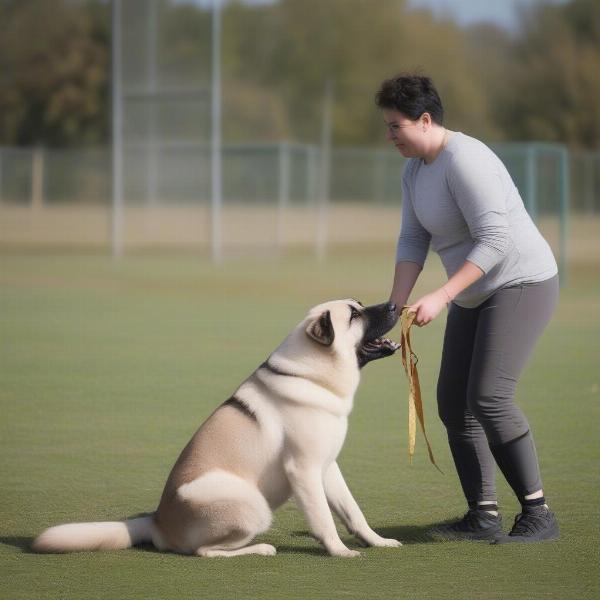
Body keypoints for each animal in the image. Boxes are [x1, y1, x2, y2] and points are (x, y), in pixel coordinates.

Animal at [32, 300, 400, 556]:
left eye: (359, 305)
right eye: (354, 315)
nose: (395, 304)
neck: (312, 375)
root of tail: (158, 521)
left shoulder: (327, 467)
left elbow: (352, 512)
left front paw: (377, 542)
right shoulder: (305, 470)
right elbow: (323, 518)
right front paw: (339, 551)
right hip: (251, 504)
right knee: (204, 551)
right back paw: (261, 549)